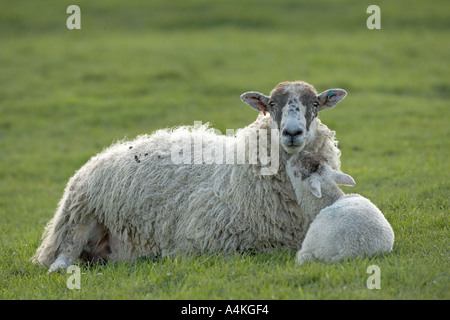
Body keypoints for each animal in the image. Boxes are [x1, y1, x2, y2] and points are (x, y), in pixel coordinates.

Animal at [31, 80, 348, 272]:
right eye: (271, 104)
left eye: (315, 104)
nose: (292, 133)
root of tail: (102, 154)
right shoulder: (210, 240)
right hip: (80, 216)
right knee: (63, 255)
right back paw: (61, 268)